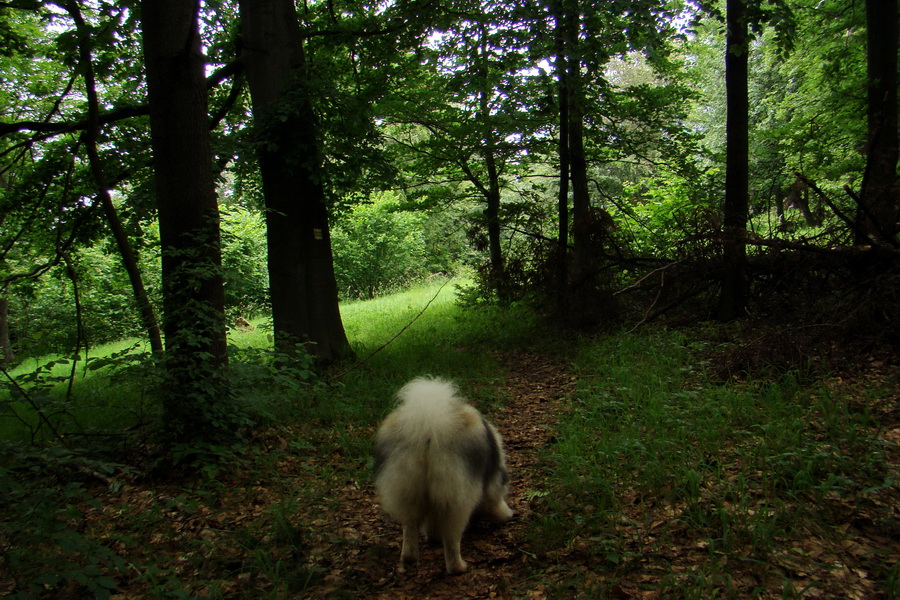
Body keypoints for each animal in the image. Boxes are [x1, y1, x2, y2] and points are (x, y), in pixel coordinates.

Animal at [372, 378, 512, 576]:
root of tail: (428, 424)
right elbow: (494, 500)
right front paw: (505, 514)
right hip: (456, 497)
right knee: (452, 540)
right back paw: (458, 567)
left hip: (407, 488)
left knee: (410, 527)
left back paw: (409, 559)